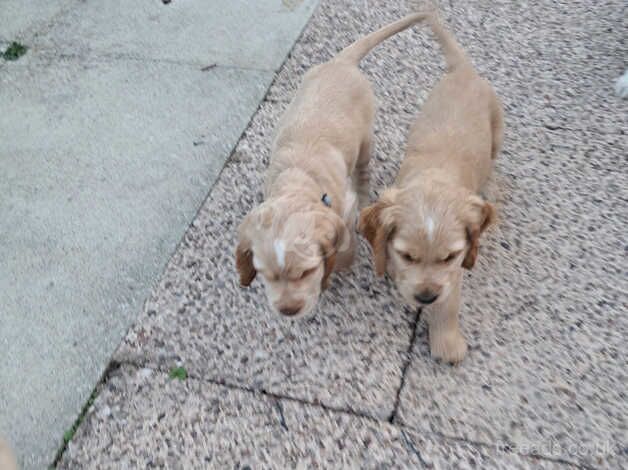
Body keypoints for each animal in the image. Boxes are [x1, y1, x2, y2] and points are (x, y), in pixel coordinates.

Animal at [236, 11, 432, 320]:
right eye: (266, 275)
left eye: (306, 272)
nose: (288, 310)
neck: (299, 179)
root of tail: (341, 61)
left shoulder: (342, 212)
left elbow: (343, 246)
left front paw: (340, 265)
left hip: (365, 140)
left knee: (362, 172)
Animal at [360, 13, 502, 360]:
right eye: (407, 255)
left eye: (449, 257)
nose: (425, 298)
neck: (433, 180)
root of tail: (464, 70)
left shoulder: (453, 274)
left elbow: (449, 302)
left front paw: (446, 342)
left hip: (497, 127)